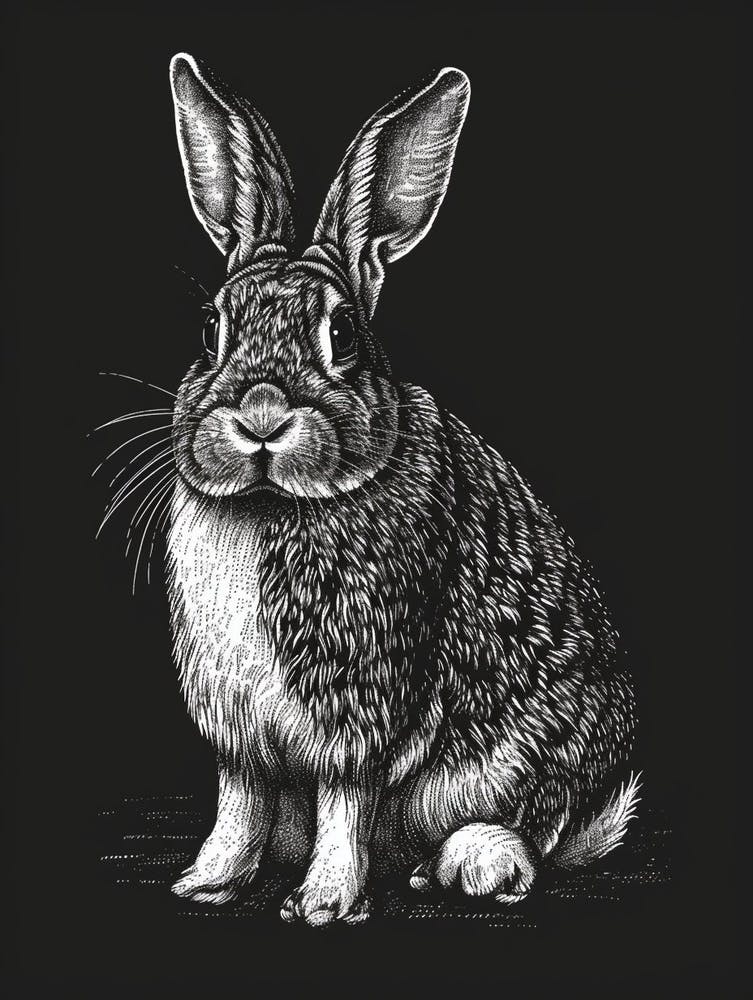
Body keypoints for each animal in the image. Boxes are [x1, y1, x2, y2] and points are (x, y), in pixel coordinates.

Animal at [165, 52, 638, 926]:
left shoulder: (363, 705)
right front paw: (205, 883)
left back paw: (469, 866)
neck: (275, 505)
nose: (259, 416)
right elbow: (240, 804)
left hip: (514, 766)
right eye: (210, 329)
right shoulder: (238, 731)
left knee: (531, 830)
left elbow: (343, 801)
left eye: (342, 331)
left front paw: (322, 904)